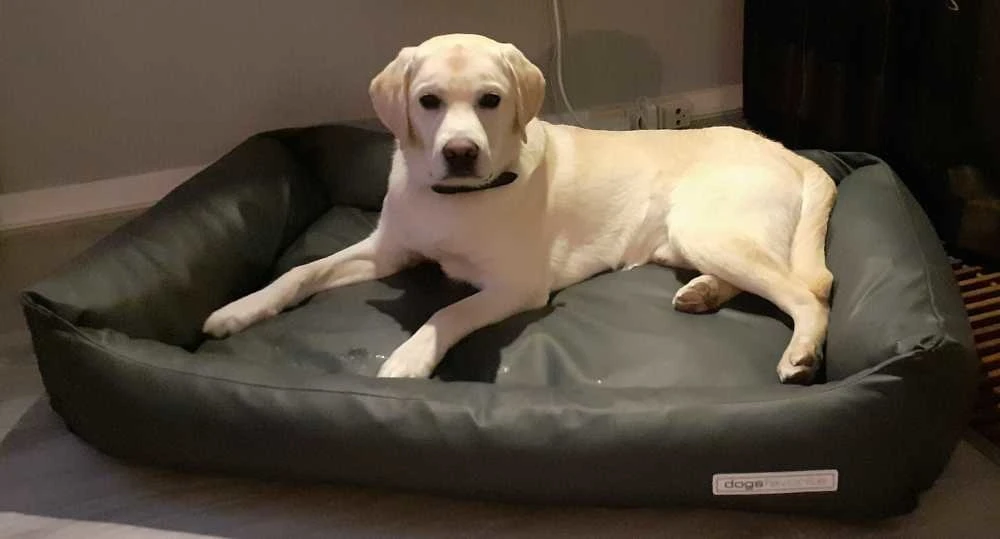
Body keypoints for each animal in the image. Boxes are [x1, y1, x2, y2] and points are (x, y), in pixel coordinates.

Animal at [203, 33, 837, 384]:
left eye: (491, 99)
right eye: (428, 101)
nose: (460, 153)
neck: (455, 200)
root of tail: (784, 149)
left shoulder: (516, 286)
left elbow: (446, 313)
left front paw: (410, 357)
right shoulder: (388, 251)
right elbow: (300, 272)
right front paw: (239, 309)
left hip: (707, 227)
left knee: (808, 293)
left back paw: (801, 353)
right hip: (693, 238)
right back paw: (703, 292)